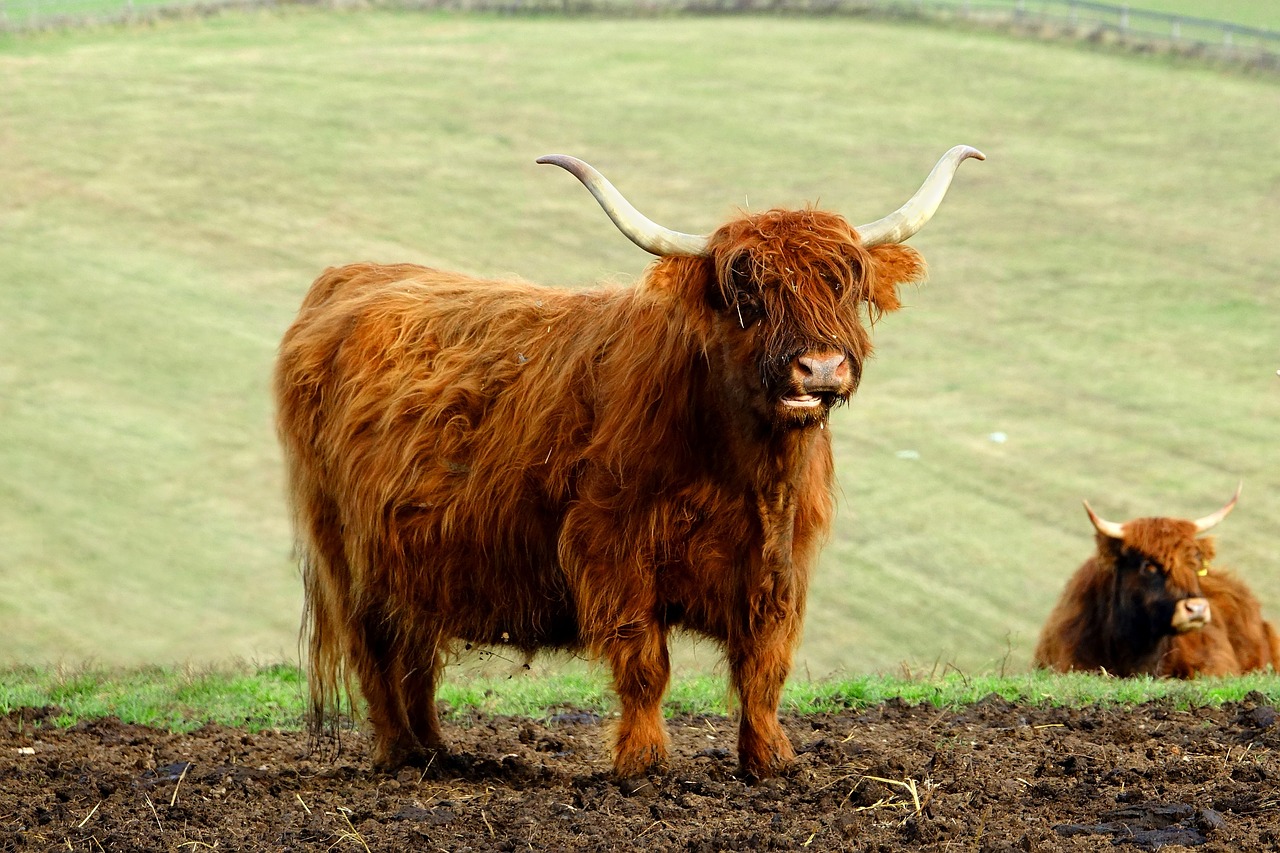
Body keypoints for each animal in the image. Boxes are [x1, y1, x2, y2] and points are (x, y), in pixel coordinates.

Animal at [275, 146, 983, 778]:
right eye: (747, 295)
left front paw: (770, 761)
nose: (821, 368)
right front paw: (643, 764)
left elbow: (764, 664)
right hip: (346, 557)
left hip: (416, 563)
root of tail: (352, 276)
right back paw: (400, 755)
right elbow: (646, 665)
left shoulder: (781, 564)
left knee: (417, 653)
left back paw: (435, 752)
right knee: (375, 652)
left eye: (843, 284)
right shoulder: (613, 550)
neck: (746, 469)